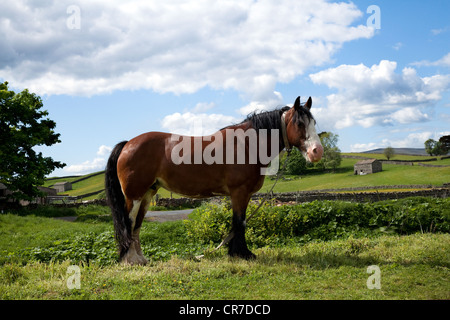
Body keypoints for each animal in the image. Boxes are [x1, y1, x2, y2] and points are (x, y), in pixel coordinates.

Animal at [105, 95, 324, 264]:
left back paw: (140, 259)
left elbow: (240, 222)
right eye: (299, 123)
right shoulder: (238, 192)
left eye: (314, 123)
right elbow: (239, 222)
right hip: (134, 195)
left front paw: (238, 252)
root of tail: (128, 144)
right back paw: (129, 260)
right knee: (128, 222)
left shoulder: (244, 195)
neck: (246, 145)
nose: (317, 152)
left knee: (137, 225)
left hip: (147, 194)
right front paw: (242, 254)